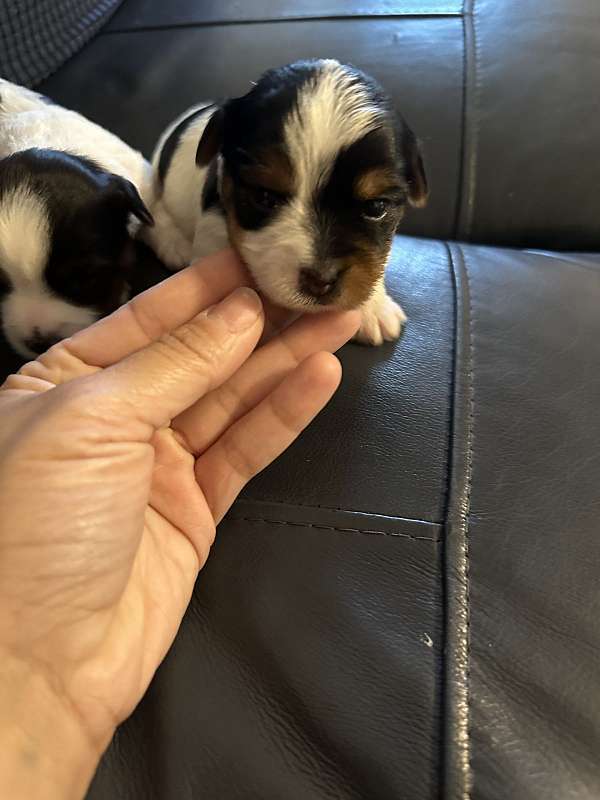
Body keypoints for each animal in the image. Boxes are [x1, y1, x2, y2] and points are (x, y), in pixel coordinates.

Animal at [144, 57, 428, 342]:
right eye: (264, 196)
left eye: (376, 206)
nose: (320, 282)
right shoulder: (211, 237)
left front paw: (374, 308)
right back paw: (173, 244)